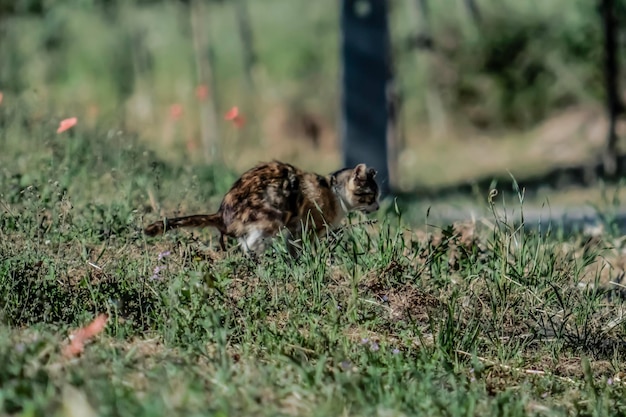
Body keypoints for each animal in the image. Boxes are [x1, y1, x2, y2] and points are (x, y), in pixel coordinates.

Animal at [145, 161, 380, 254]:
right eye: (372, 195)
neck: (334, 193)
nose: (378, 206)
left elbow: (293, 246)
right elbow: (303, 246)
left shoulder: (294, 229)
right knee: (249, 245)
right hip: (272, 215)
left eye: (378, 196)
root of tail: (222, 214)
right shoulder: (308, 227)